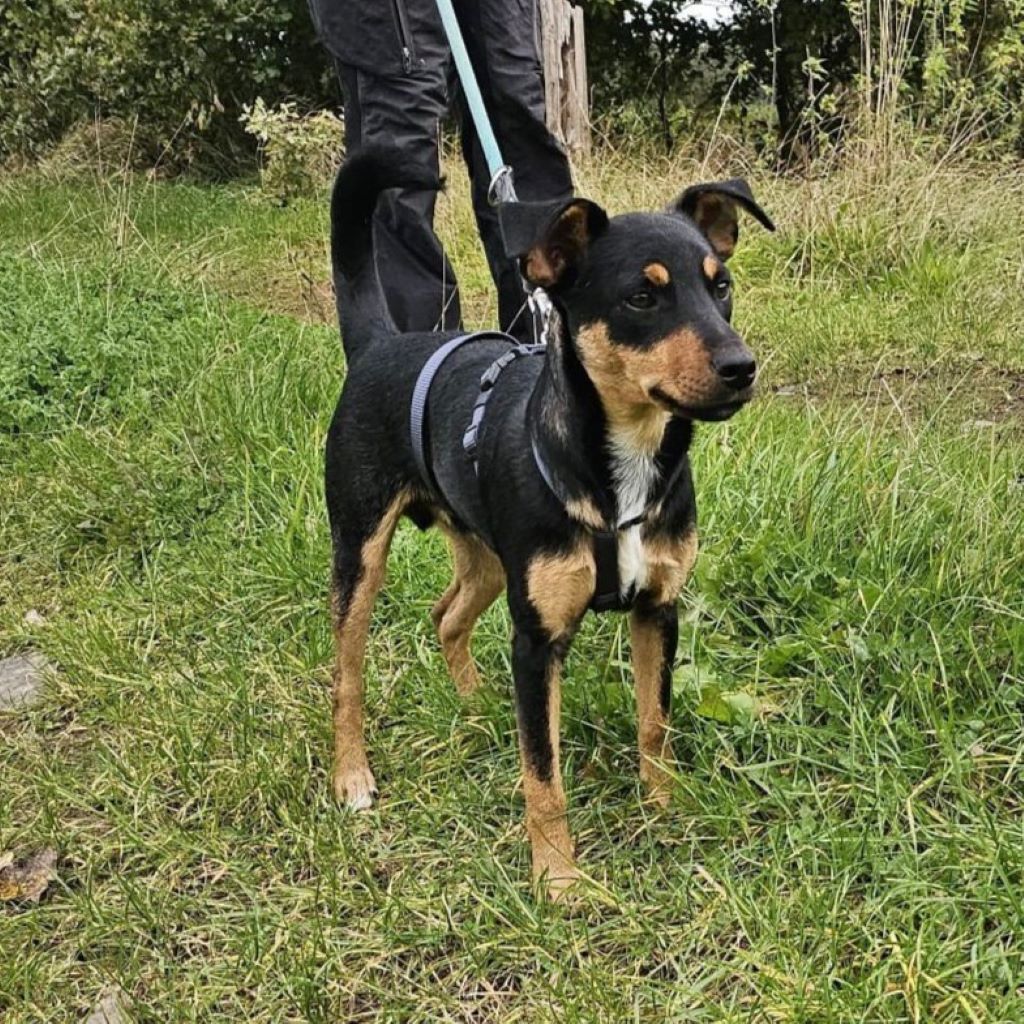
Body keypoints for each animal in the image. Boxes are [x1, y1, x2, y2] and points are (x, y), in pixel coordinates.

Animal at [323, 148, 770, 901]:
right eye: (641, 298)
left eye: (723, 286)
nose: (741, 367)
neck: (621, 469)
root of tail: (381, 343)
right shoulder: (537, 641)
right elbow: (544, 773)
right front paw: (557, 878)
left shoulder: (658, 610)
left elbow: (654, 727)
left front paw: (664, 812)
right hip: (360, 551)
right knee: (347, 673)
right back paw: (352, 773)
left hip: (491, 559)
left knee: (447, 615)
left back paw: (477, 705)